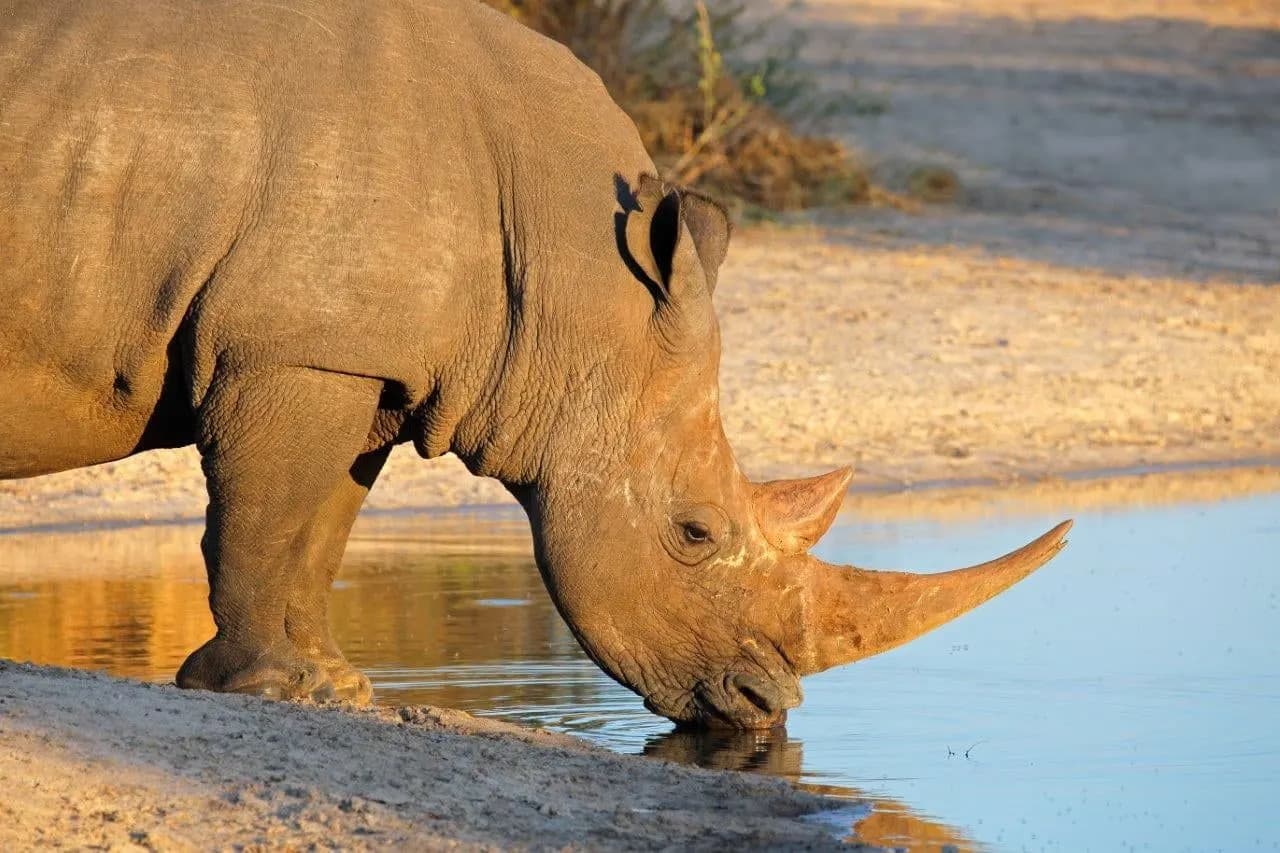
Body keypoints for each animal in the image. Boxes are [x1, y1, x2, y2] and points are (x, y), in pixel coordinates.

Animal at [0, 0, 1070, 729]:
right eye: (694, 532)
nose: (768, 705)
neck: (571, 278)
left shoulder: (365, 365)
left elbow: (316, 526)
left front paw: (336, 686)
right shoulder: (296, 347)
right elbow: (263, 516)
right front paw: (272, 690)